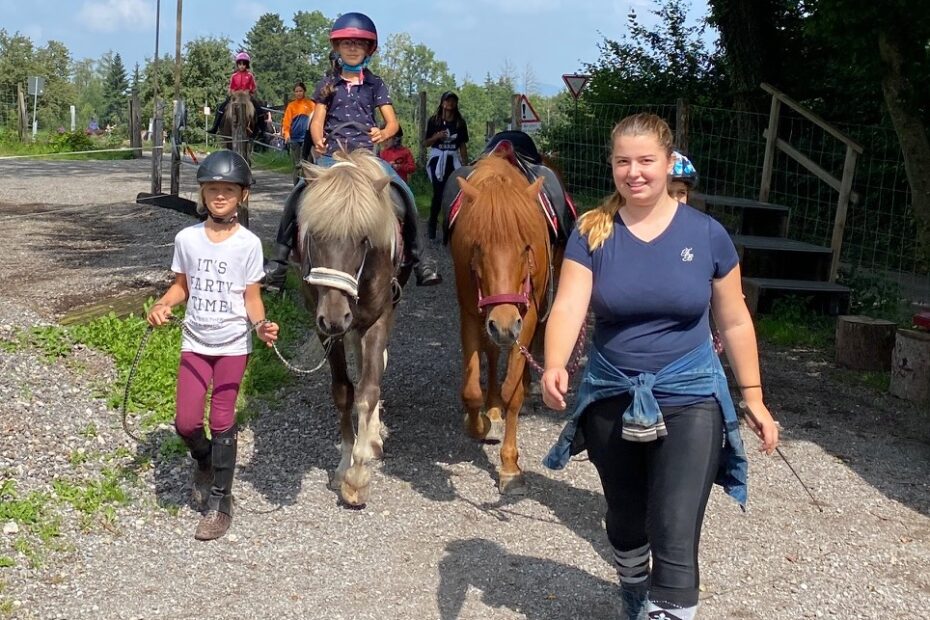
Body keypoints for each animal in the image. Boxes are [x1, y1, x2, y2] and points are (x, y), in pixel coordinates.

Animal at [452, 151, 560, 494]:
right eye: (477, 246)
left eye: (526, 247)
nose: (503, 324)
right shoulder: (472, 314)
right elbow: (471, 389)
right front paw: (482, 421)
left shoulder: (526, 317)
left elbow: (513, 390)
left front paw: (510, 466)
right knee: (493, 351)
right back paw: (493, 405)